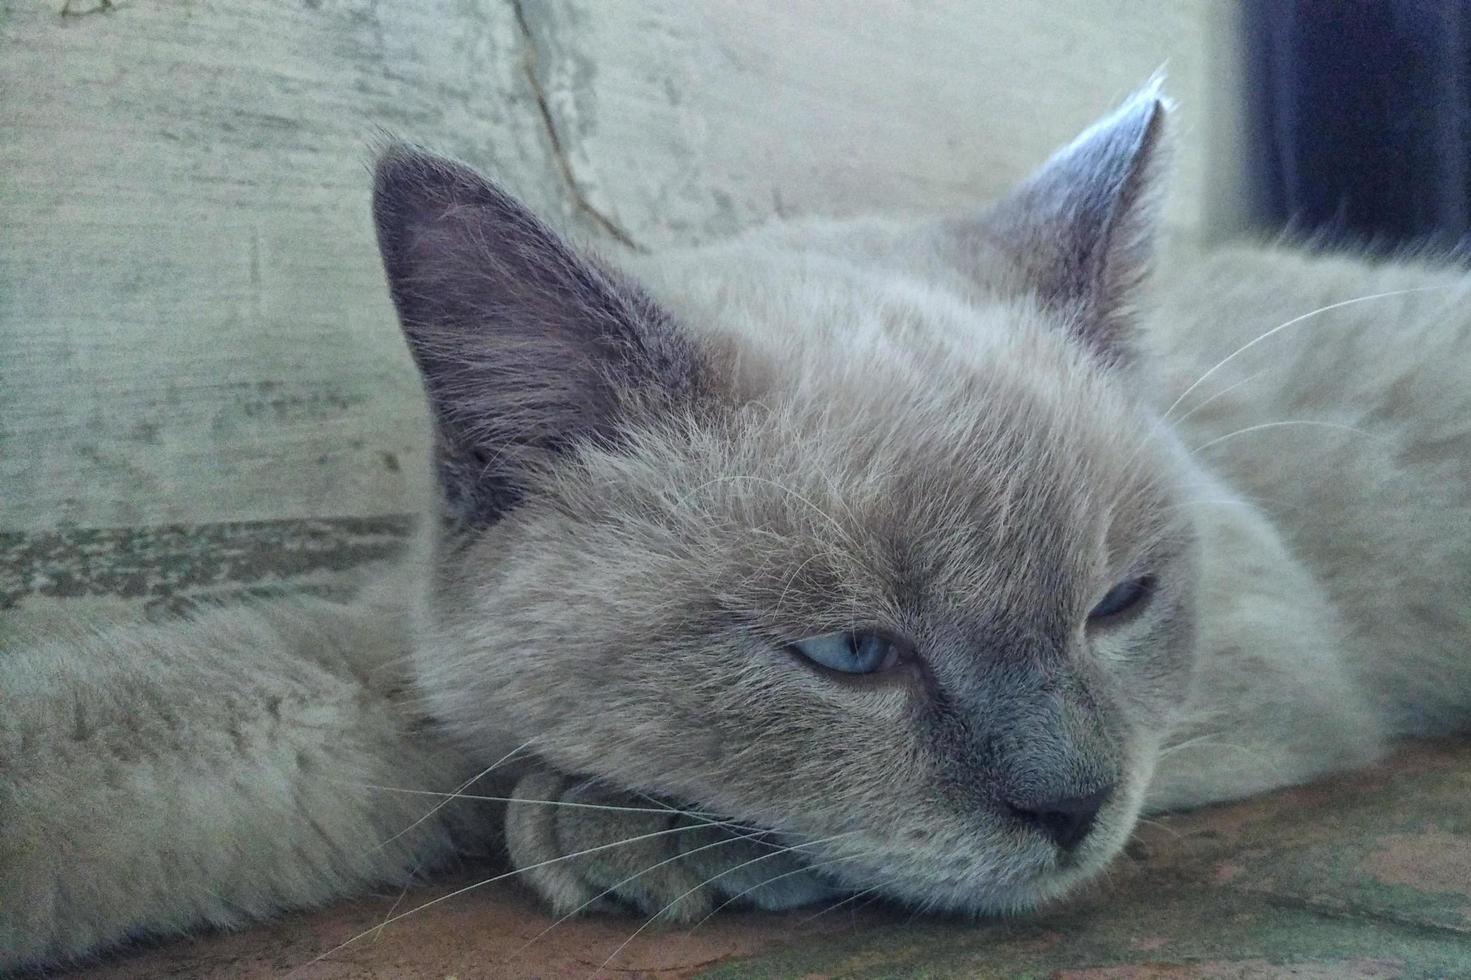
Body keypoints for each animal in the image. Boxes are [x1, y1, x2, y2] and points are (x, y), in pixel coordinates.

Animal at [2, 83, 1471, 971]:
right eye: (848, 655)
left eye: (1117, 605)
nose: (1069, 811)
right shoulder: (372, 686)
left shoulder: (1262, 671)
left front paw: (605, 829)